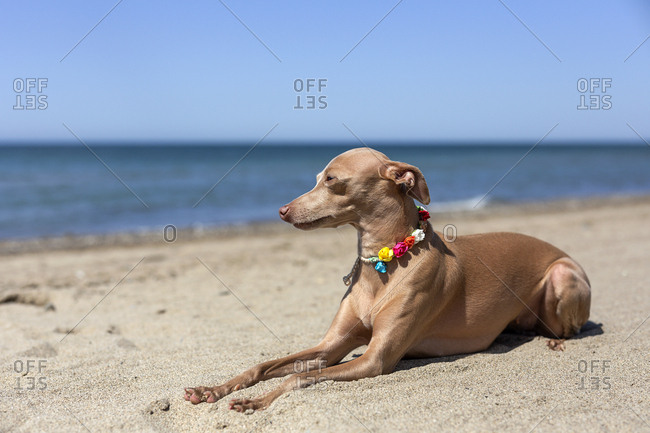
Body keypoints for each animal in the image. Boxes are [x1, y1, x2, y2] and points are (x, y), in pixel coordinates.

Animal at [182, 148, 588, 412]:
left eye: (332, 179)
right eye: (317, 178)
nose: (282, 211)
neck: (383, 263)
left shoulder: (376, 359)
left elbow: (296, 379)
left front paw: (257, 401)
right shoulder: (331, 347)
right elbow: (264, 366)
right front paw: (212, 390)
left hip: (562, 275)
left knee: (568, 327)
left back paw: (555, 340)